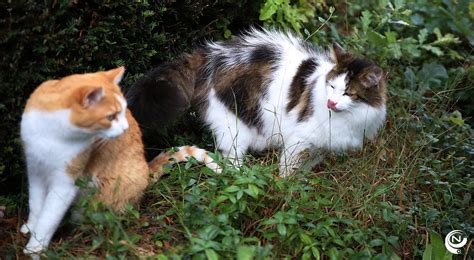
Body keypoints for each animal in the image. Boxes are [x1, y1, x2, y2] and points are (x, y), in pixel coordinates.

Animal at [18, 67, 218, 256]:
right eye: (110, 116)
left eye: (123, 112)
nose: (125, 128)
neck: (54, 133)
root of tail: (146, 168)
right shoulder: (35, 170)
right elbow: (35, 204)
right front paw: (29, 228)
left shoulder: (65, 183)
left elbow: (49, 216)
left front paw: (34, 247)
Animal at [128, 29, 386, 177]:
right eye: (332, 87)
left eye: (348, 93)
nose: (331, 103)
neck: (348, 119)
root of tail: (210, 55)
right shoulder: (299, 139)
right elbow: (288, 169)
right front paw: (287, 189)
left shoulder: (319, 147)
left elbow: (304, 169)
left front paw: (301, 184)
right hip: (233, 127)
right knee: (229, 163)